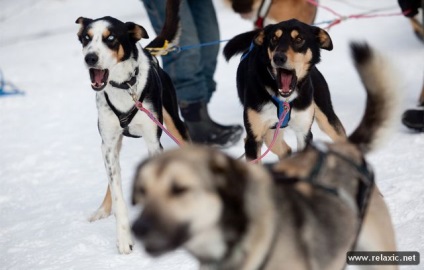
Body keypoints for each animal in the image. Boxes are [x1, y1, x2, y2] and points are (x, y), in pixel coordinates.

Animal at [75, 0, 190, 253]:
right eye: (86, 38)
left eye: (110, 38)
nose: (90, 58)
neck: (123, 87)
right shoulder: (107, 144)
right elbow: (118, 195)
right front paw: (124, 239)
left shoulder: (153, 141)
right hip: (114, 145)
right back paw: (102, 210)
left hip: (174, 124)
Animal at [224, 19, 346, 161]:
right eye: (274, 39)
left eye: (299, 39)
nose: (278, 57)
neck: (285, 100)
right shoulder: (254, 138)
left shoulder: (304, 133)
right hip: (269, 134)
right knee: (286, 150)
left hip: (326, 117)